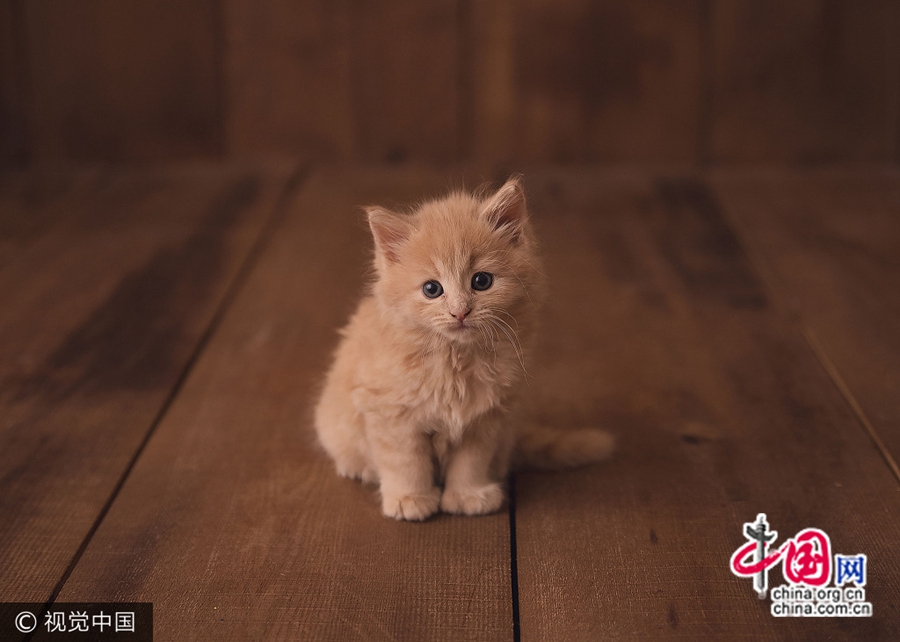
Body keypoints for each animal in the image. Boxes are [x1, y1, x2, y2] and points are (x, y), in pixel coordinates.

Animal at [312, 176, 616, 520]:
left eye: (481, 281)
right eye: (432, 289)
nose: (460, 312)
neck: (456, 360)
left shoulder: (486, 418)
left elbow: (470, 463)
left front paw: (467, 495)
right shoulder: (390, 416)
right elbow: (405, 462)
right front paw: (410, 498)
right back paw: (357, 468)